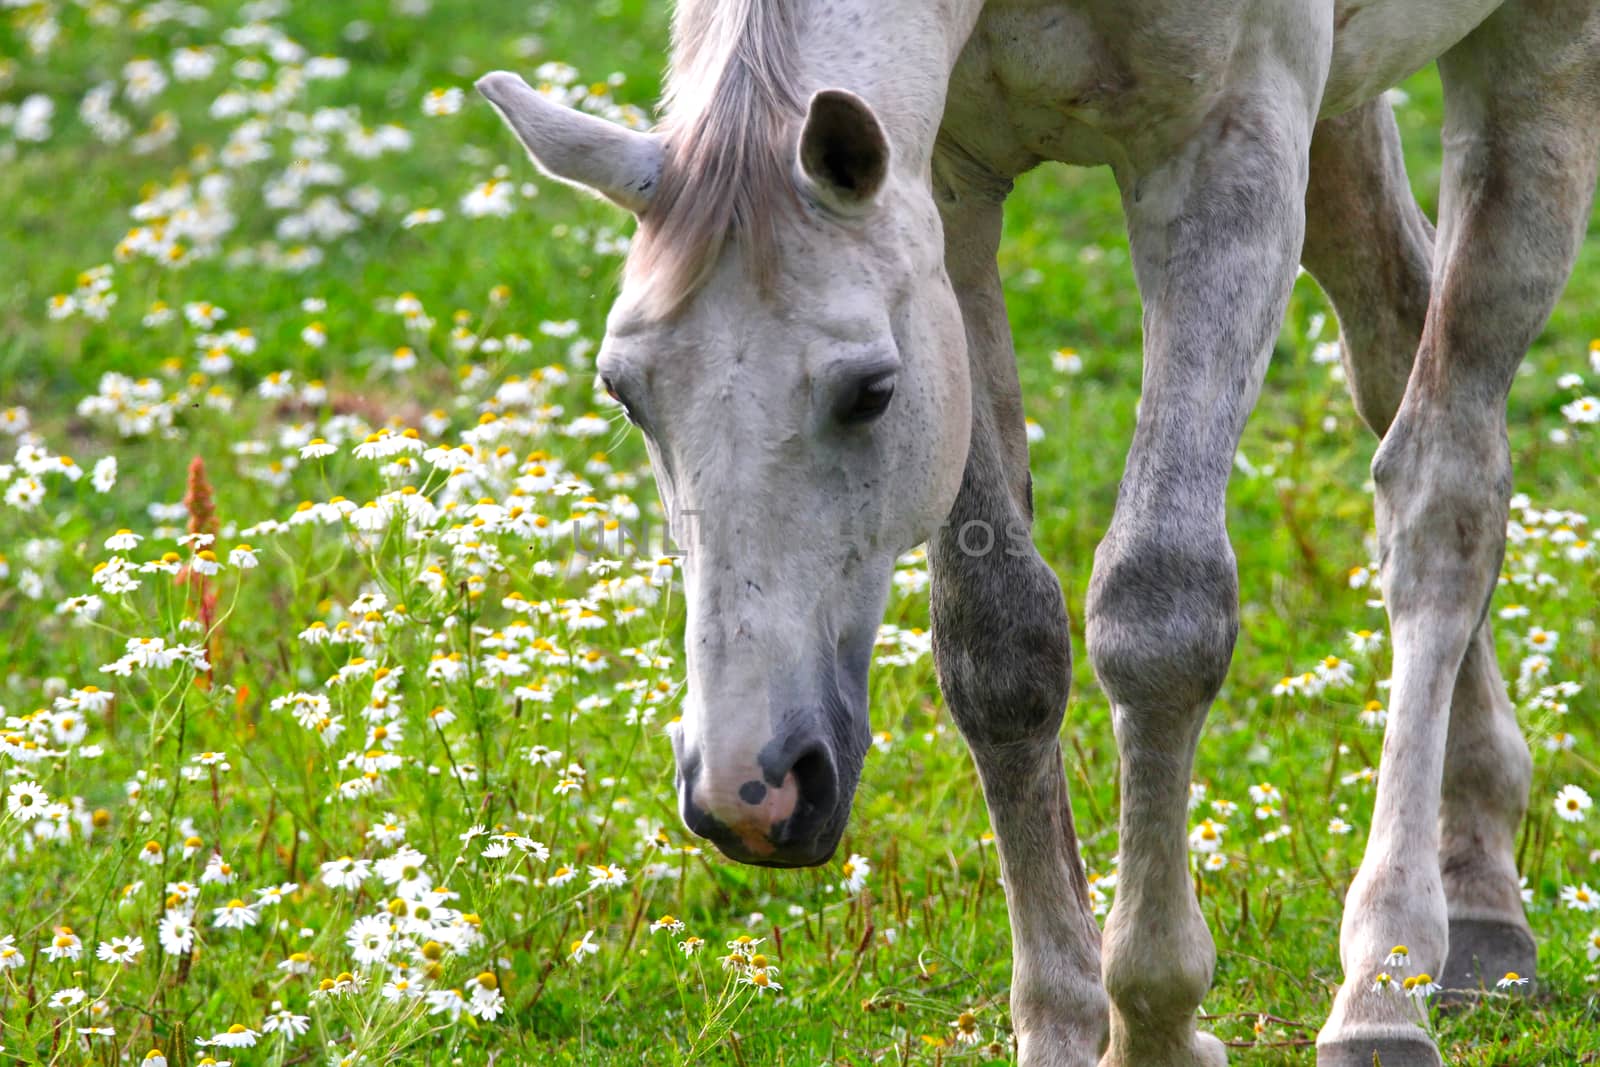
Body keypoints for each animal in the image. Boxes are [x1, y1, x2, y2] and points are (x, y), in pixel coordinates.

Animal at [476, 4, 1600, 1062]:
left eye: (870, 391)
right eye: (624, 393)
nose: (749, 790)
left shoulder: (1224, 159)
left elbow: (1161, 614)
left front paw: (1156, 1019)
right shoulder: (945, 195)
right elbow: (999, 647)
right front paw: (1064, 1021)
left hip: (1533, 67)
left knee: (1441, 490)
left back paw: (1386, 981)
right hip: (1345, 109)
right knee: (1397, 344)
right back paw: (1477, 884)